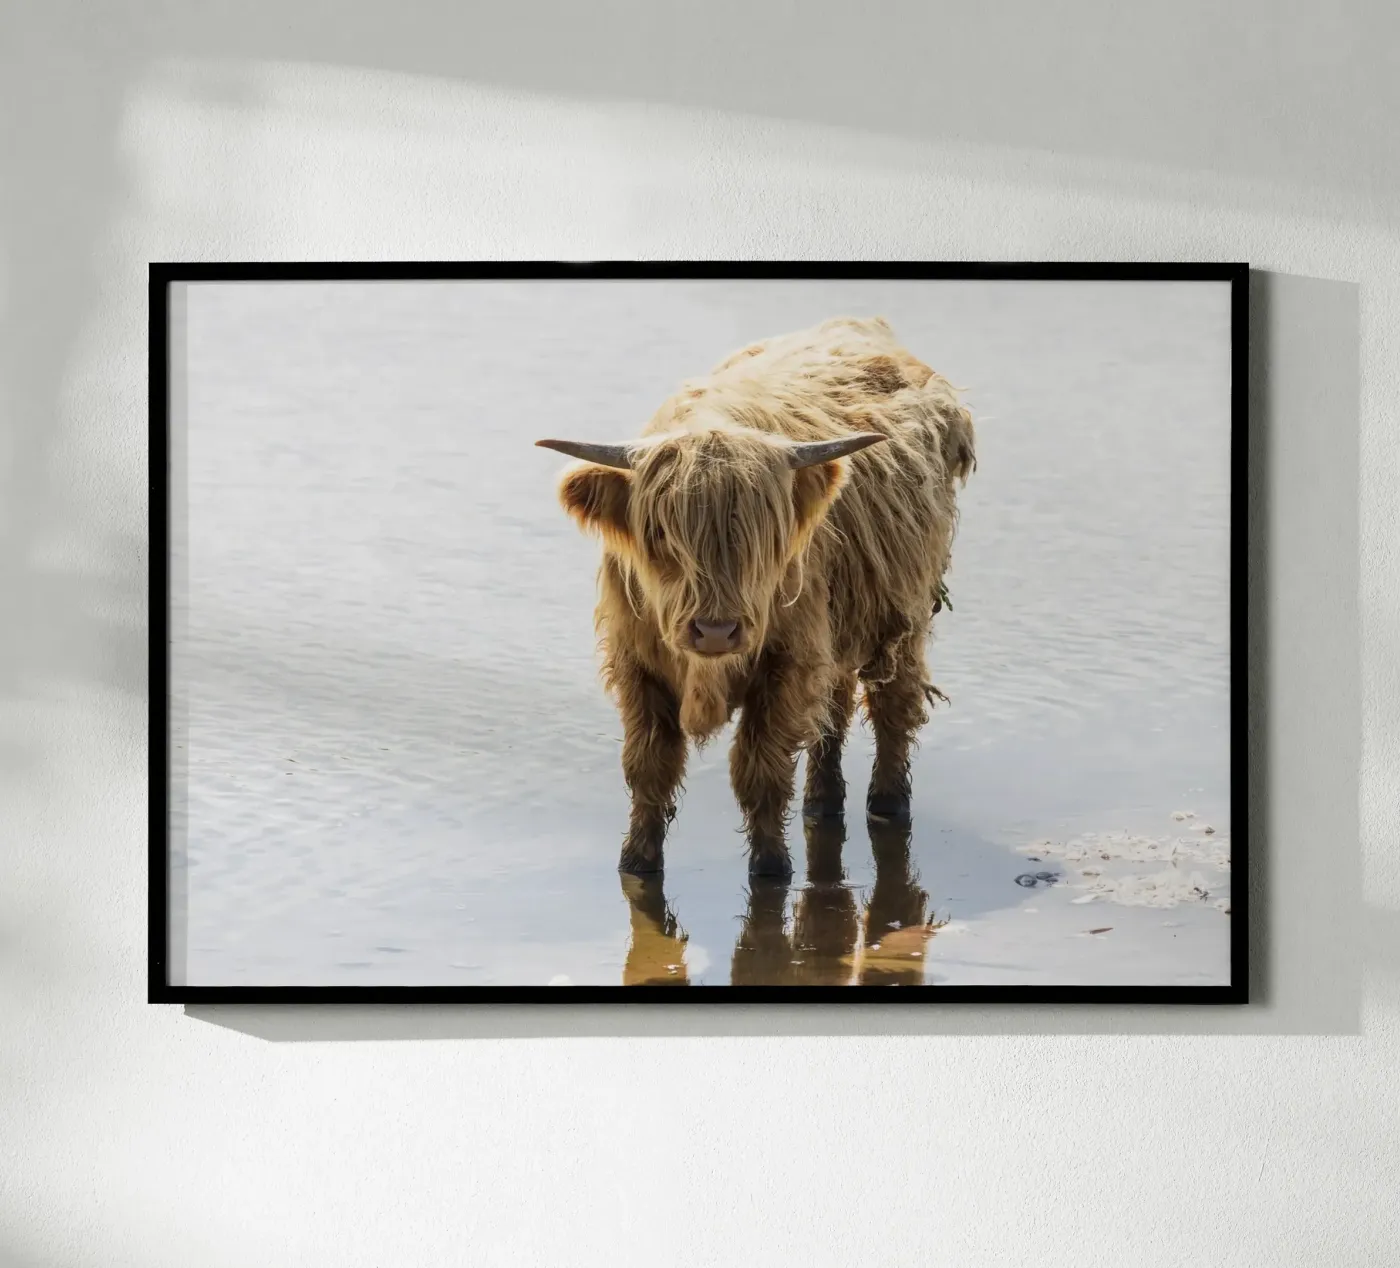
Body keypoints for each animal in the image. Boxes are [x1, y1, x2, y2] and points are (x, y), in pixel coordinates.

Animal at [537, 316, 976, 880]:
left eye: (762, 538)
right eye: (659, 533)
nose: (715, 630)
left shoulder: (787, 662)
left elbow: (760, 771)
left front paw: (771, 867)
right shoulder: (637, 664)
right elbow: (649, 767)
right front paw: (636, 861)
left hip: (905, 613)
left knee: (893, 704)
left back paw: (887, 803)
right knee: (832, 709)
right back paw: (822, 802)